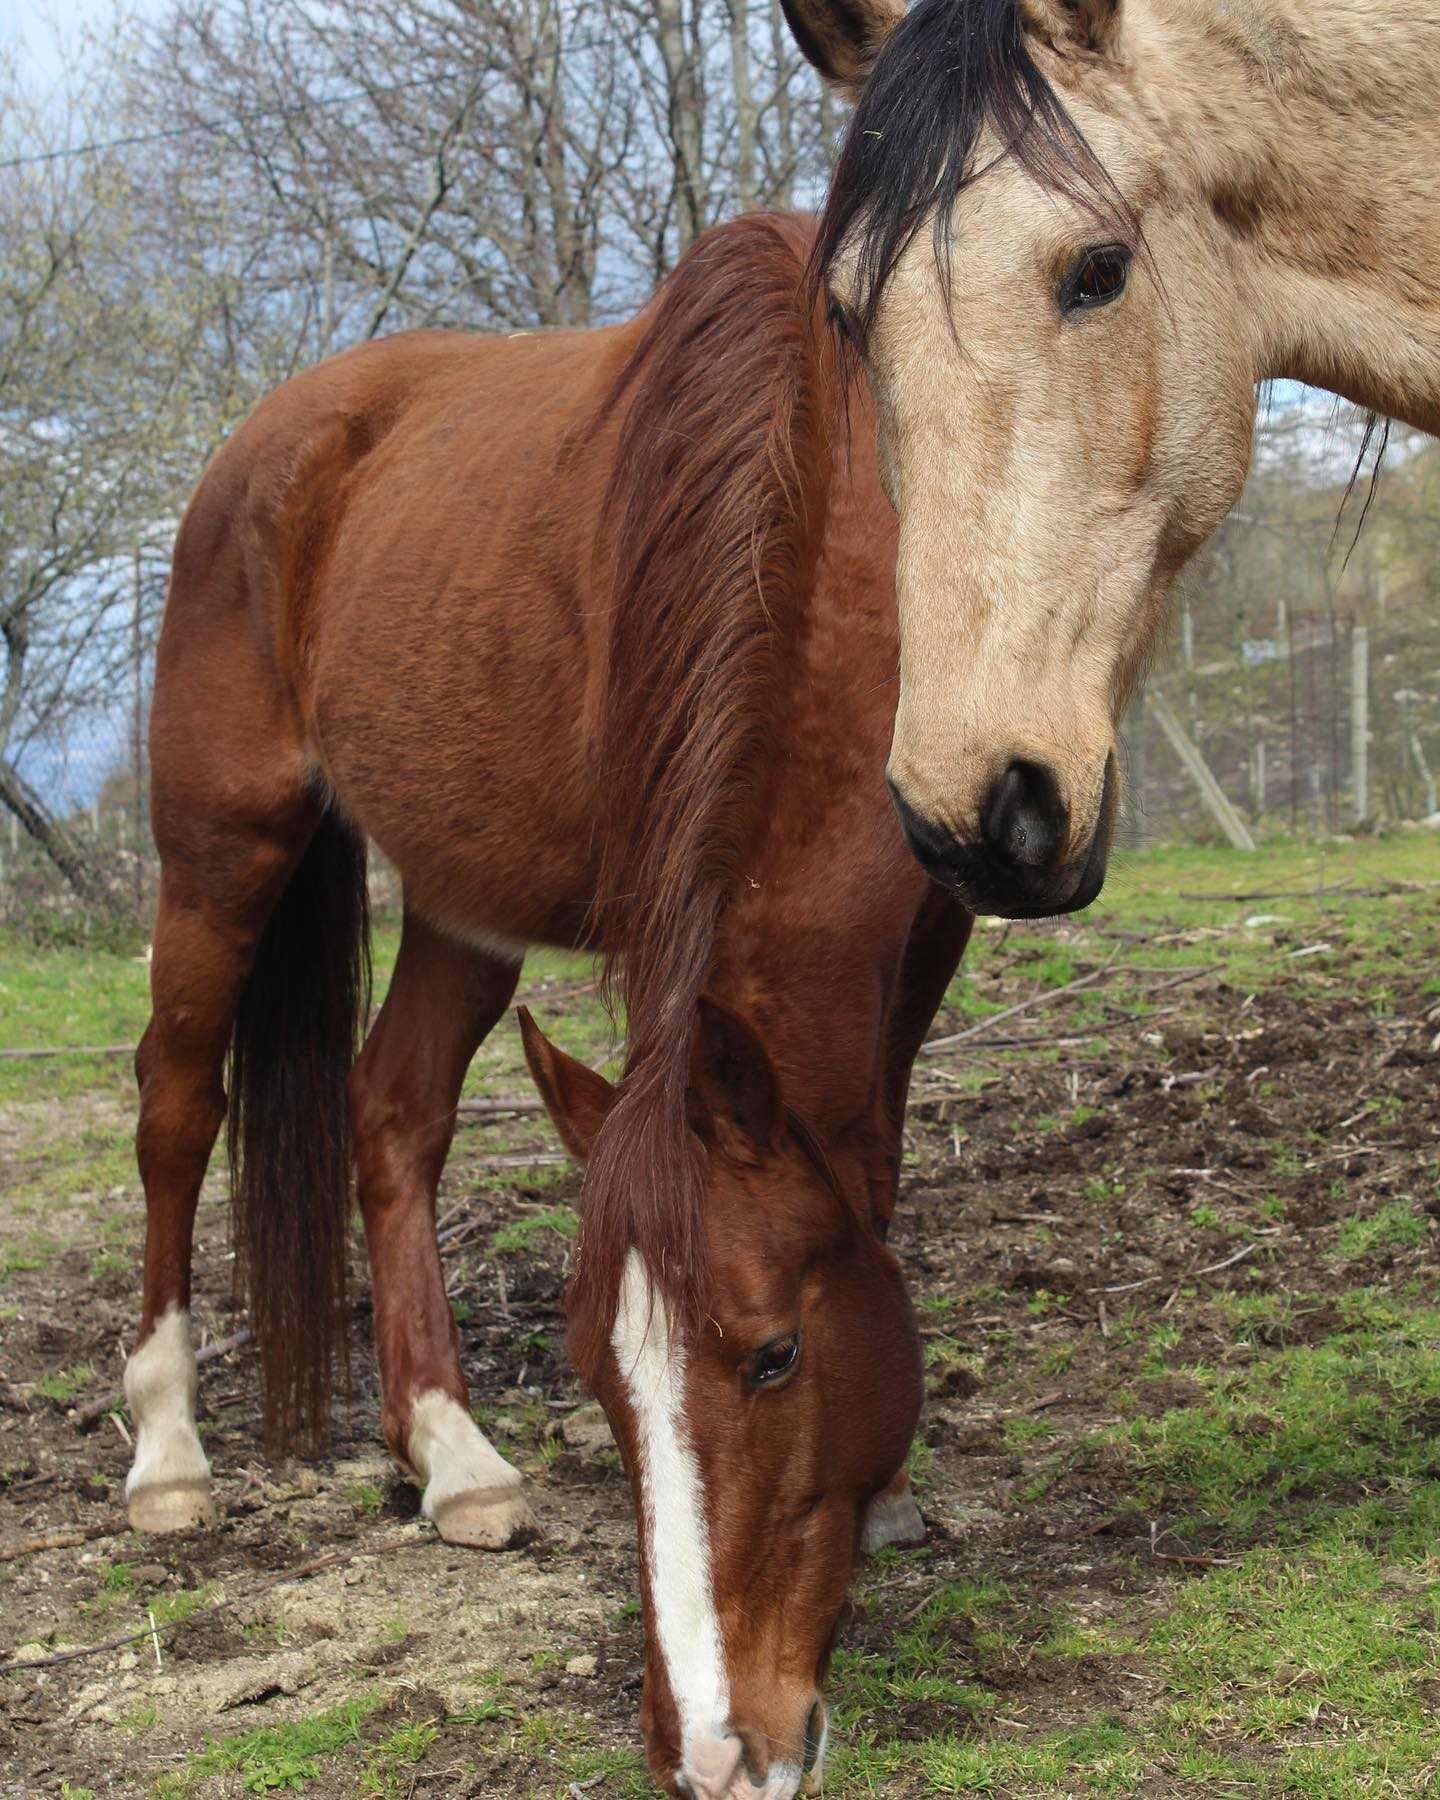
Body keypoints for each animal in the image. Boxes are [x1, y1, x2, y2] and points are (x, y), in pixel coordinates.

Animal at [129, 214, 964, 1800]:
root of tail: (267, 442)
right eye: (597, 1379)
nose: (716, 1754)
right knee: (174, 1105)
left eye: (774, 1356)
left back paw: (450, 1459)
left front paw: (889, 1494)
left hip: (465, 900)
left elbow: (873, 1158)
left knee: (392, 1112)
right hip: (222, 851)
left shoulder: (934, 906)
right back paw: (167, 1453)